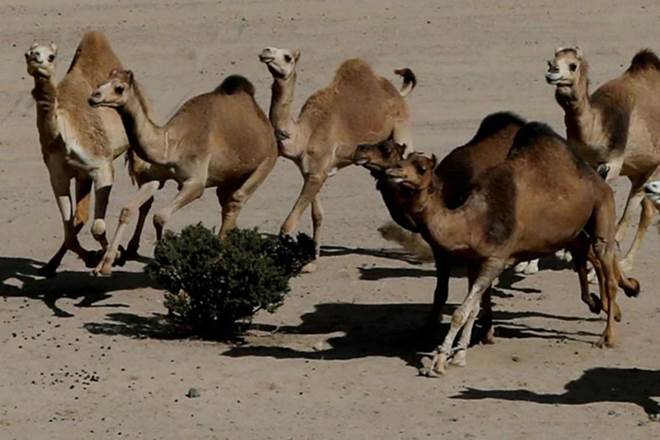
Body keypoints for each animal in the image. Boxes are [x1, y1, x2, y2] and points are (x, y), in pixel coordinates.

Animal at [25, 32, 129, 276]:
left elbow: (98, 227)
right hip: (82, 177)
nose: (36, 60)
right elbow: (71, 230)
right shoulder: (58, 176)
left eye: (51, 56)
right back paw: (51, 265)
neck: (61, 135)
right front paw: (91, 258)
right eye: (28, 53)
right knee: (80, 217)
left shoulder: (102, 166)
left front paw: (111, 257)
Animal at [89, 69, 278, 276]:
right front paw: (105, 265)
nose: (93, 97)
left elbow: (160, 217)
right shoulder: (155, 178)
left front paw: (162, 257)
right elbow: (128, 209)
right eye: (100, 83)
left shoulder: (195, 183)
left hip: (267, 161)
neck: (172, 146)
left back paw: (220, 258)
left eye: (119, 88)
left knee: (236, 200)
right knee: (225, 201)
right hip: (230, 176)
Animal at [258, 47, 416, 269]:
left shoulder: (318, 172)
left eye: (287, 57)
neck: (303, 134)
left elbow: (287, 225)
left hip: (402, 127)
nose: (266, 52)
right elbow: (317, 215)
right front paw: (313, 259)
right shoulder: (311, 171)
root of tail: (396, 91)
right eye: (271, 48)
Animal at [385, 122, 640, 376]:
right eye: (403, 159)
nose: (391, 172)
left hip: (602, 208)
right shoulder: (474, 261)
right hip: (577, 234)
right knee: (588, 261)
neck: (473, 221)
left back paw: (607, 336)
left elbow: (461, 312)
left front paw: (438, 362)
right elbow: (473, 309)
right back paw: (609, 302)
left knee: (607, 268)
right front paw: (459, 355)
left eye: (421, 168)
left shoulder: (495, 260)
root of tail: (599, 180)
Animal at [546, 47, 660, 272]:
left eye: (573, 65)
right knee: (643, 206)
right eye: (551, 61)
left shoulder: (613, 163)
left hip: (653, 166)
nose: (552, 72)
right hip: (638, 170)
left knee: (641, 211)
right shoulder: (583, 159)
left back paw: (624, 263)